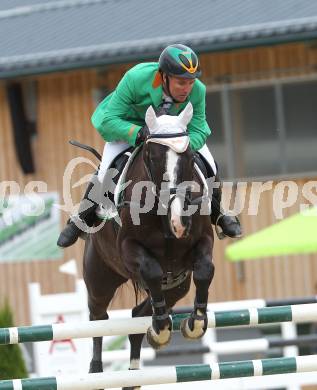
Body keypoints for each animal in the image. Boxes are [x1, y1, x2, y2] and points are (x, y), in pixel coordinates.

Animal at [82, 102, 214, 388]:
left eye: (190, 158)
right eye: (152, 157)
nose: (179, 221)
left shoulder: (202, 243)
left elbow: (205, 270)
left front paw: (195, 324)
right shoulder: (129, 248)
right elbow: (151, 270)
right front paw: (162, 330)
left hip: (176, 286)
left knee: (137, 316)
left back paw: (134, 372)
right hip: (100, 280)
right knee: (98, 318)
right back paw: (96, 371)